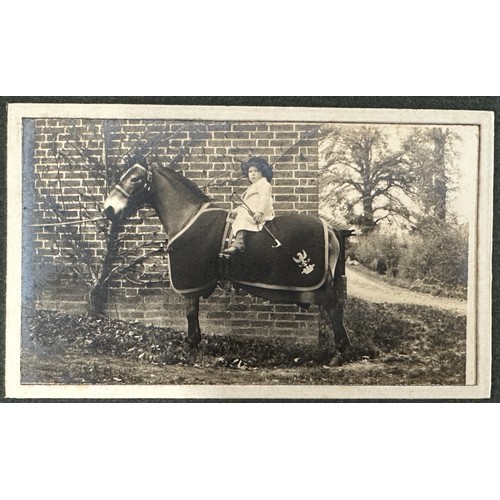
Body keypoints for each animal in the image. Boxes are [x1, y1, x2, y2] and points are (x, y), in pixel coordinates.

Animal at [102, 158, 352, 366]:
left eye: (135, 179)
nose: (108, 209)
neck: (188, 216)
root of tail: (330, 229)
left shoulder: (191, 283)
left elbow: (190, 313)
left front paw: (190, 345)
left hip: (323, 285)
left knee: (334, 308)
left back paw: (339, 354)